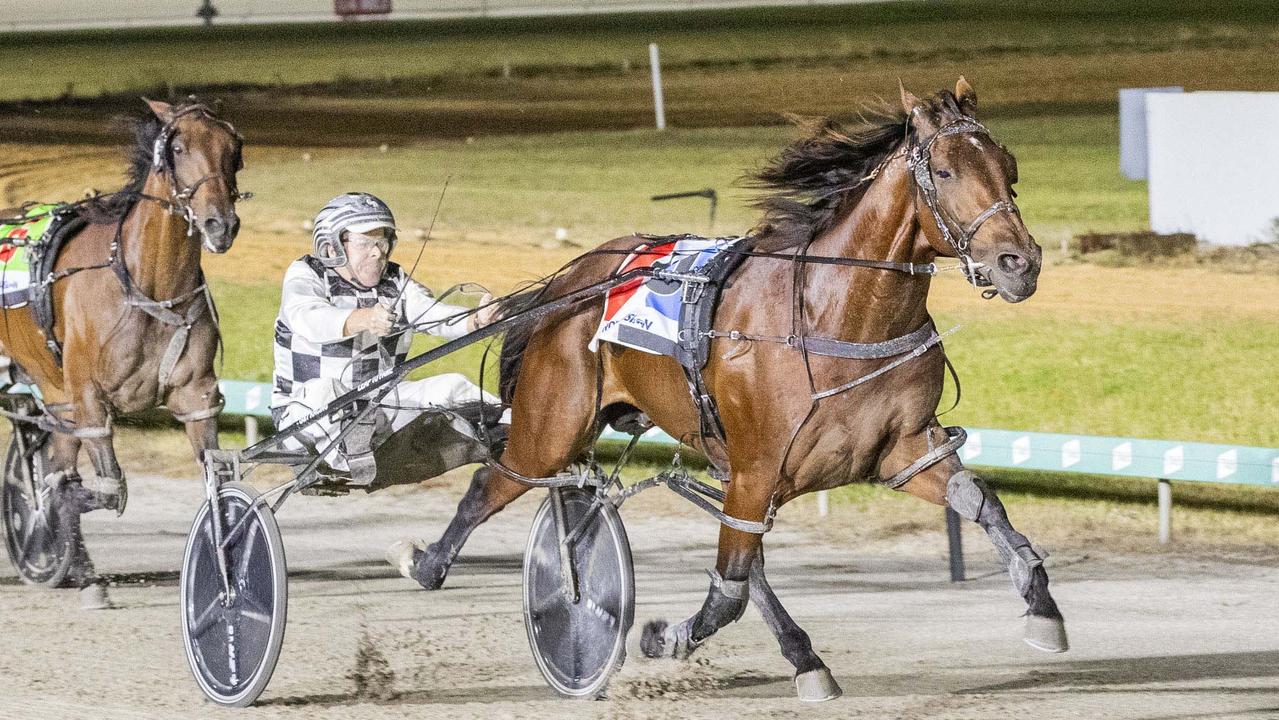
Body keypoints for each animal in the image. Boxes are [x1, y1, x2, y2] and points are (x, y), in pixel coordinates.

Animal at [0, 99, 243, 598]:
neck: (148, 287)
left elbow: (216, 477)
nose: (221, 224)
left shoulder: (196, 396)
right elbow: (102, 489)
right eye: (178, 148)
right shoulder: (89, 398)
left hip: (54, 389)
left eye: (234, 147)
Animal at [406, 78, 1059, 700]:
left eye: (1009, 165)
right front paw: (663, 638)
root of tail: (567, 282)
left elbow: (980, 500)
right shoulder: (756, 467)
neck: (832, 314)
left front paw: (1041, 605)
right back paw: (429, 563)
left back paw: (804, 657)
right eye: (945, 171)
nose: (1019, 262)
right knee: (492, 483)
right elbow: (729, 591)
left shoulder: (897, 450)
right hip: (554, 427)